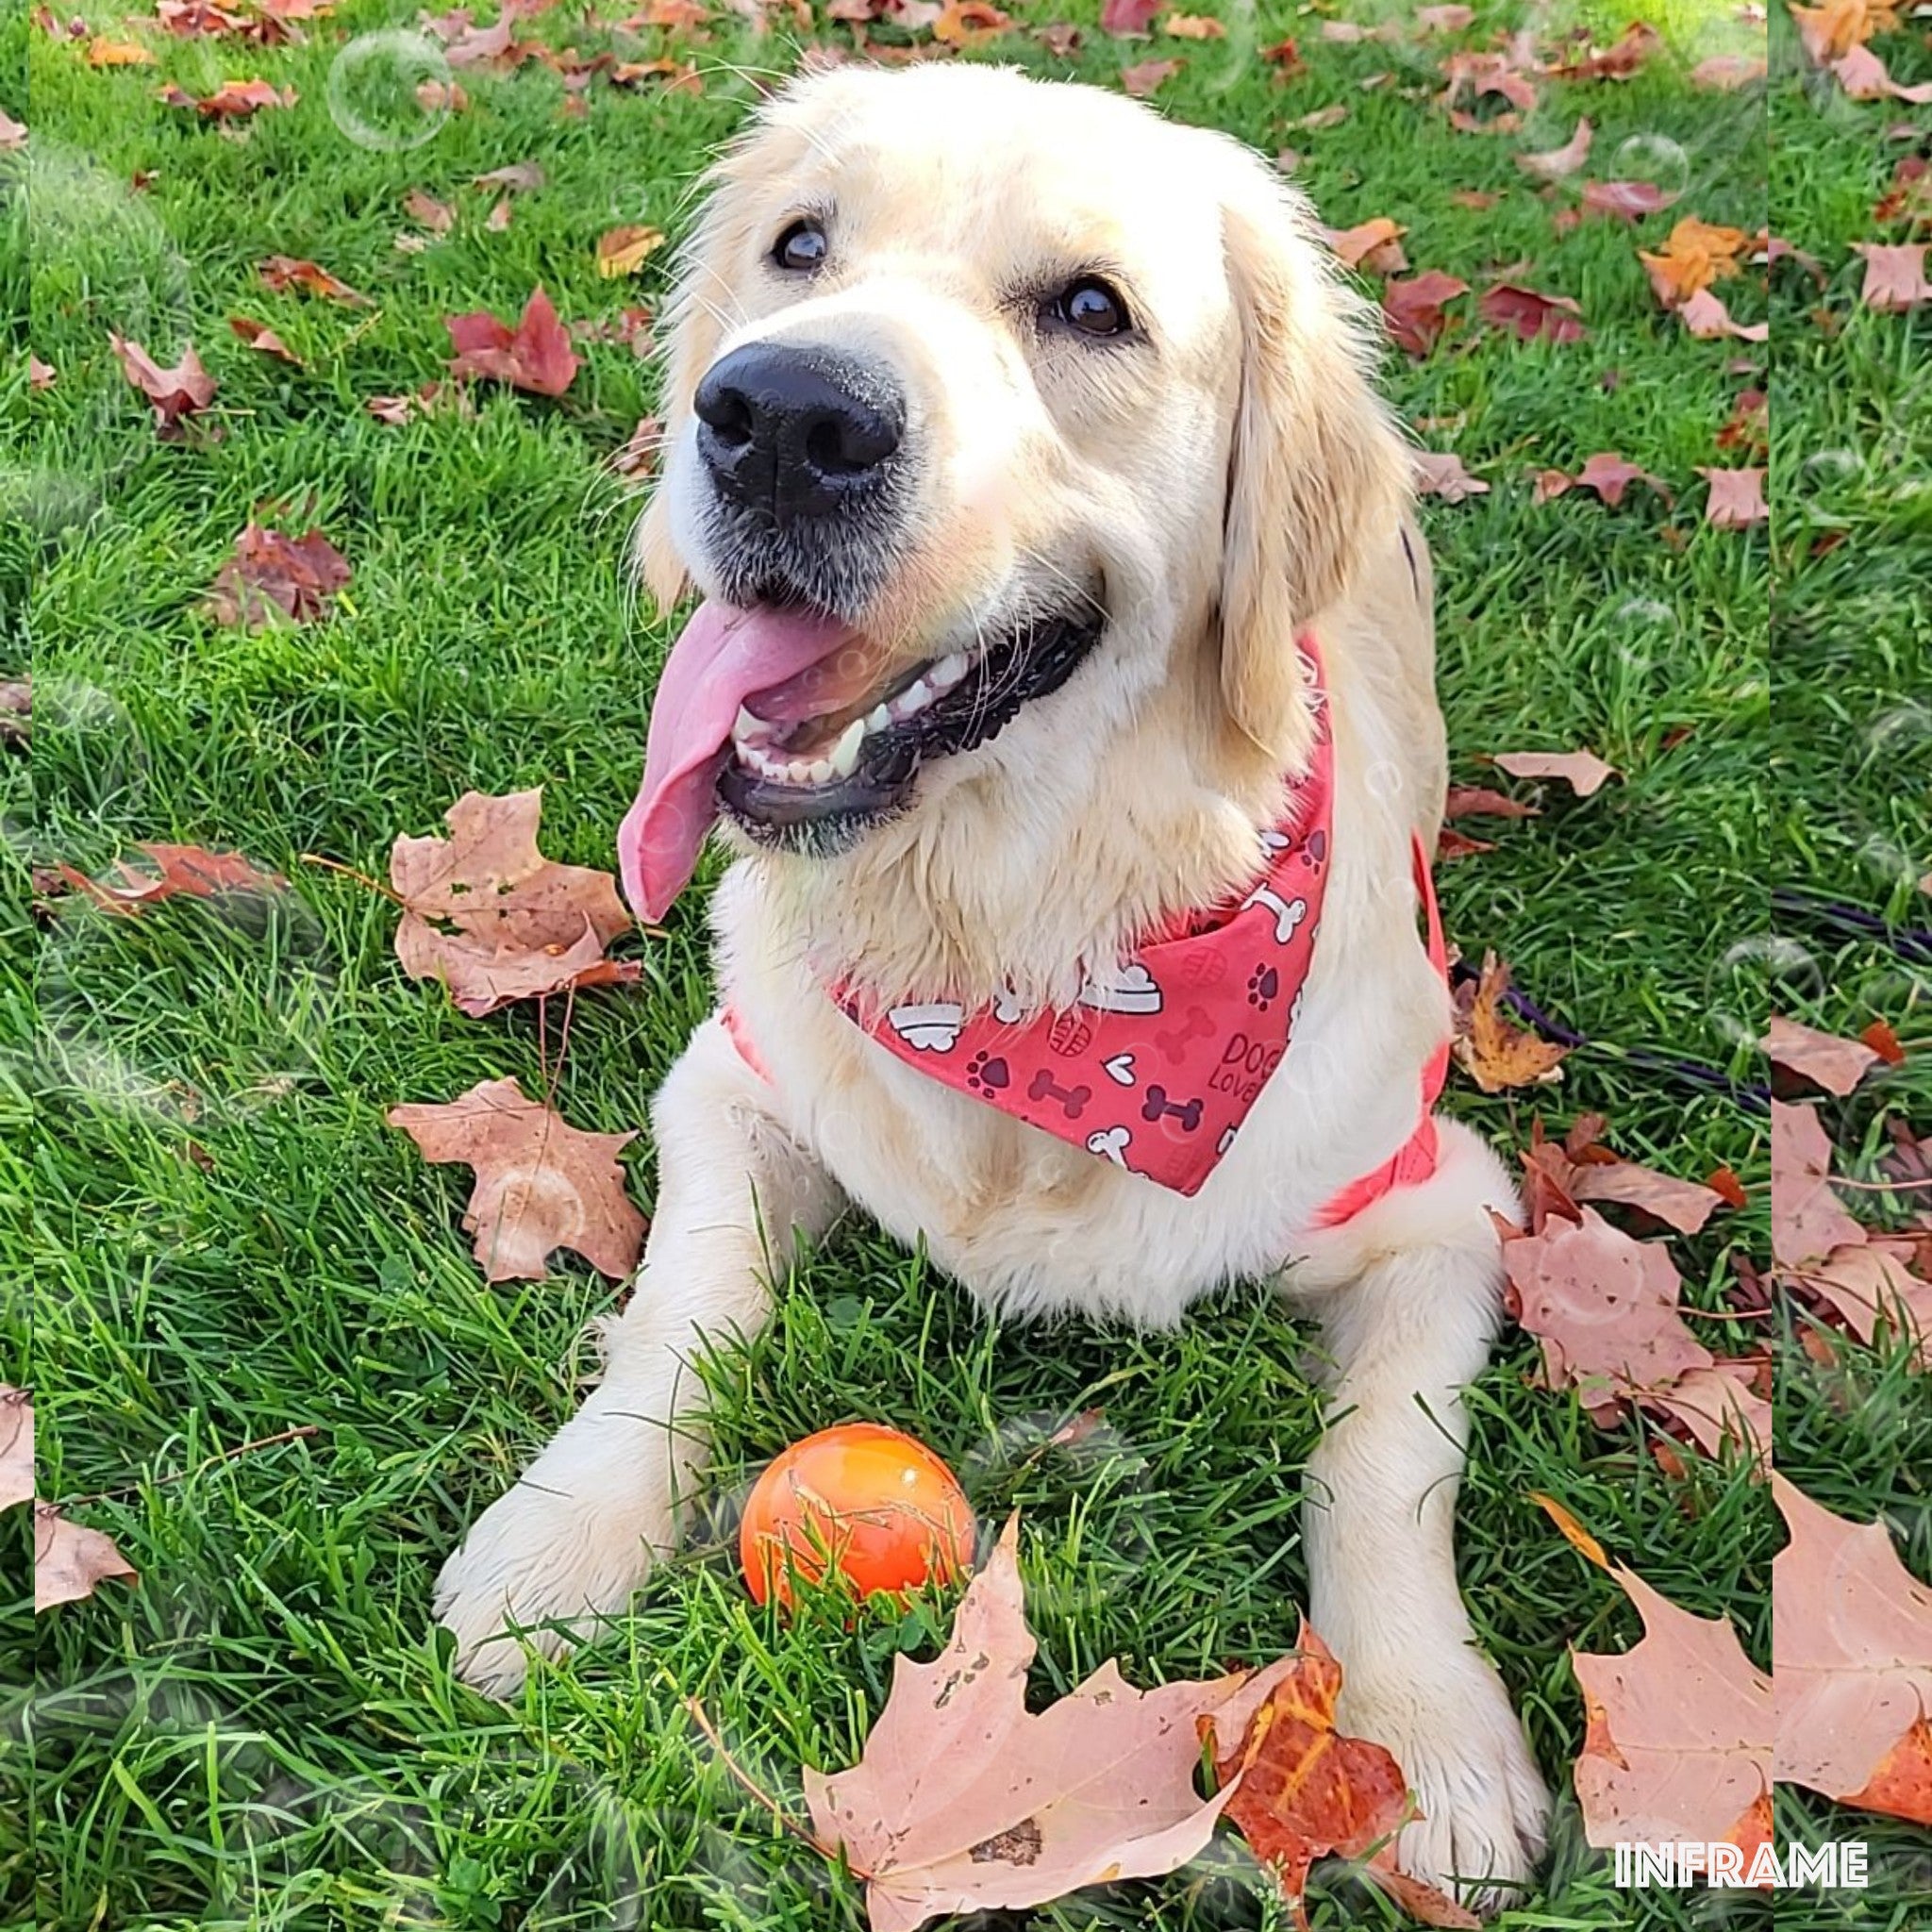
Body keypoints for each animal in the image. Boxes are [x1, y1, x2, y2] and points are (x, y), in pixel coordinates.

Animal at [438, 64, 1553, 1916]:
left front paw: (1421, 1735)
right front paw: (563, 1532)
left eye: (1091, 309)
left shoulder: (1438, 1201)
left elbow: (1378, 1460)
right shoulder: (734, 1083)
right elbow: (684, 1311)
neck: (1018, 956)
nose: (776, 417)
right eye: (797, 245)